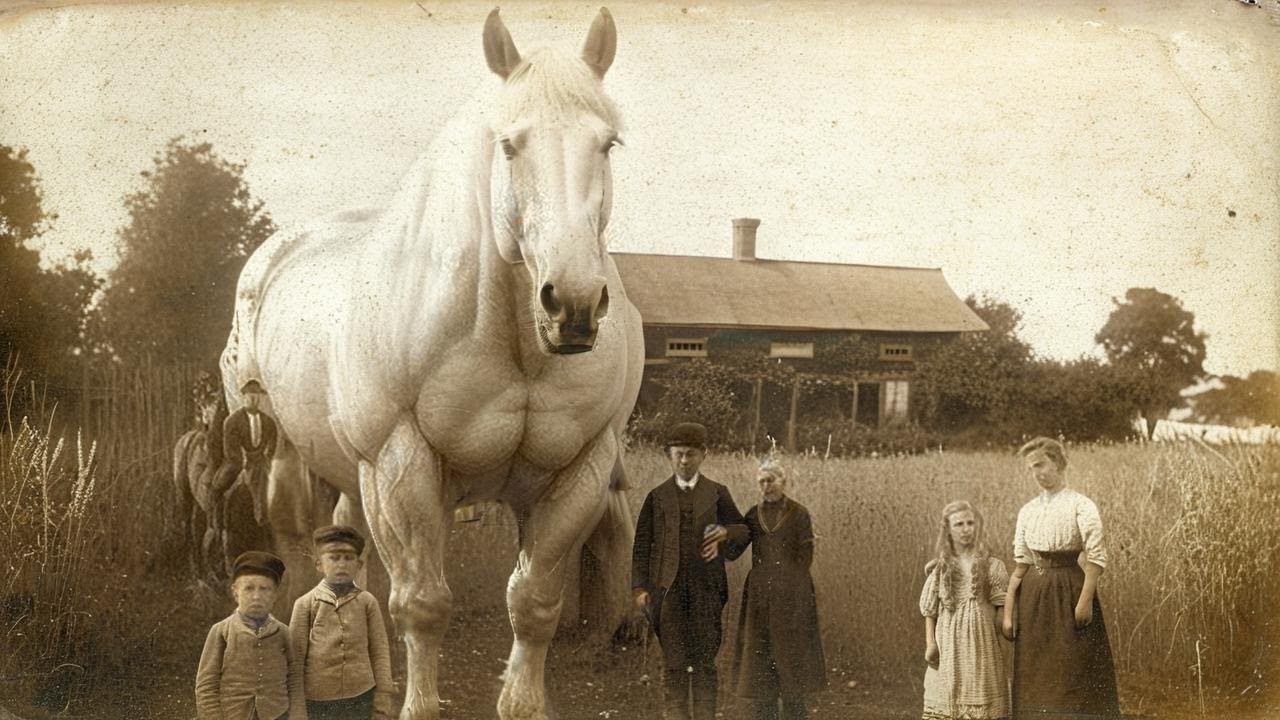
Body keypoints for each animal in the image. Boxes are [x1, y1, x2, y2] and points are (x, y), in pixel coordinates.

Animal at [218, 8, 643, 719]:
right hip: (284, 450)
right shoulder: (400, 462)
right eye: (509, 145)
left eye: (607, 144)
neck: (508, 340)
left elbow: (533, 603)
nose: (574, 304)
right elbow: (422, 605)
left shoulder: (579, 471)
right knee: (296, 540)